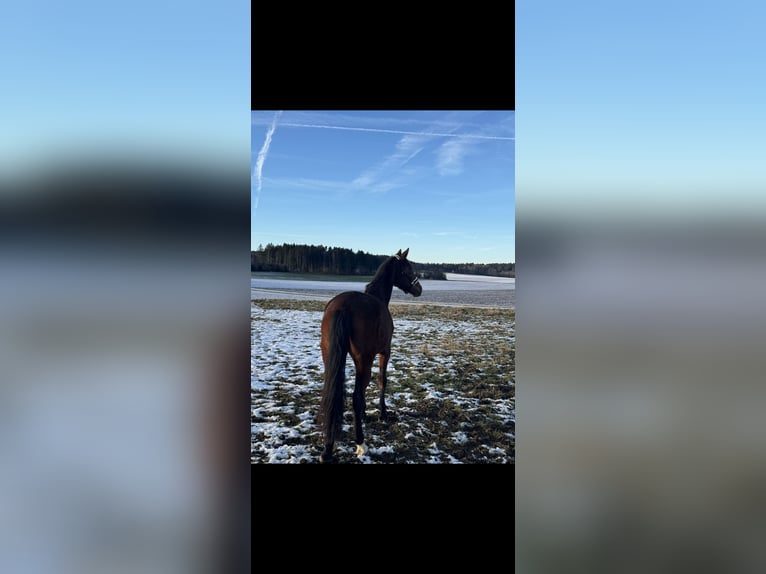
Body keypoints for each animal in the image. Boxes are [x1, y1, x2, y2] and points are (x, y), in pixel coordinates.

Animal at [318, 248, 423, 463]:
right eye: (408, 268)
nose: (419, 289)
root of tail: (342, 307)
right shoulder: (384, 352)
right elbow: (382, 380)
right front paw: (383, 414)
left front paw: (365, 414)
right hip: (365, 359)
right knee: (355, 397)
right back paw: (361, 444)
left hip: (332, 359)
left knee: (332, 395)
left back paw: (327, 449)